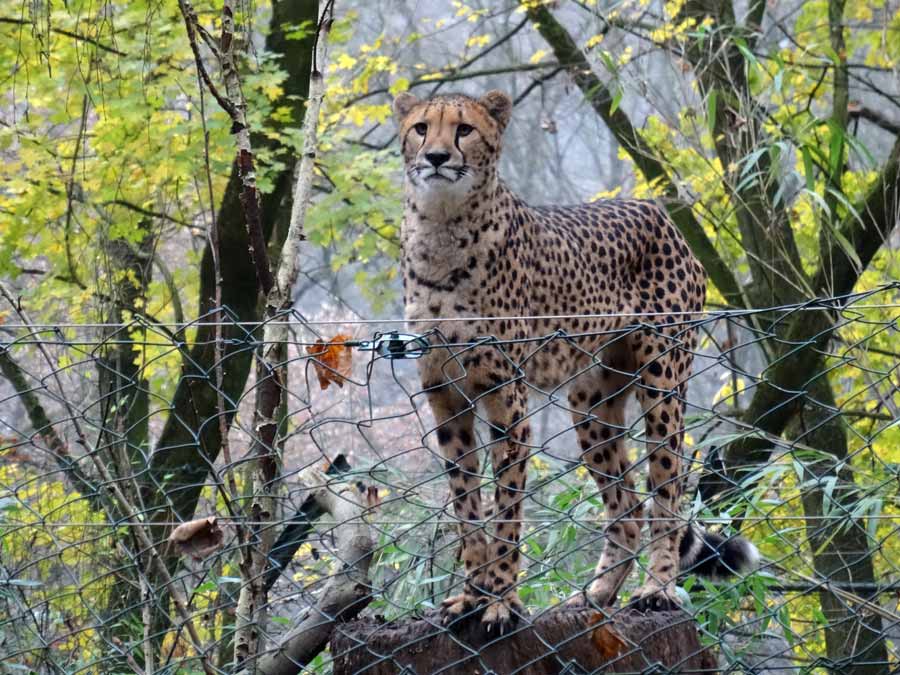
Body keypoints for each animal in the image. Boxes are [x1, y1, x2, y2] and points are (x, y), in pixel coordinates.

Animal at [396, 90, 760, 632]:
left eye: (463, 130)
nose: (438, 157)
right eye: (421, 127)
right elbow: (467, 505)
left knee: (666, 493)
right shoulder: (446, 397)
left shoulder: (507, 399)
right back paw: (593, 596)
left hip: (662, 385)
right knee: (627, 507)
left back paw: (657, 590)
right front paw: (471, 596)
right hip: (591, 406)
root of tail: (655, 212)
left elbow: (507, 509)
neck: (442, 224)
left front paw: (501, 600)